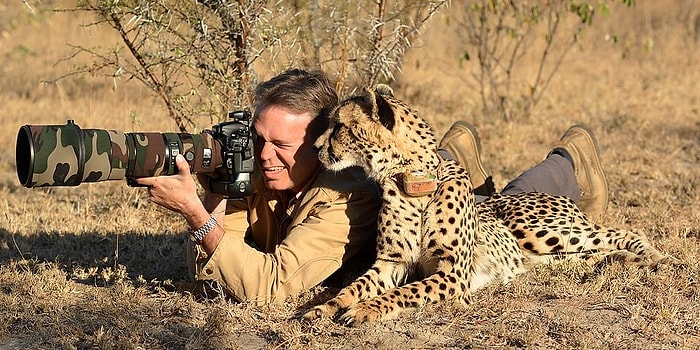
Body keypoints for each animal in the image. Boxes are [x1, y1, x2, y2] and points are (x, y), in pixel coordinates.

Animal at [304, 85, 668, 326]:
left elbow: (403, 292)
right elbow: (354, 286)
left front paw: (365, 309)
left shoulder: (452, 274)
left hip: (539, 231)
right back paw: (622, 262)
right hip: (547, 255)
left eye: (340, 126)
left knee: (620, 232)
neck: (412, 182)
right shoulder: (390, 263)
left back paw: (654, 257)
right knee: (593, 251)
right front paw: (324, 307)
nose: (316, 147)